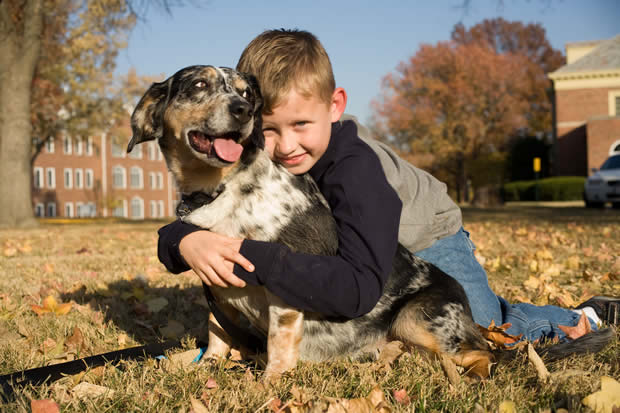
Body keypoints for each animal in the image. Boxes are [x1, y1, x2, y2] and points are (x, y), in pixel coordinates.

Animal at [127, 63, 616, 380]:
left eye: (246, 94)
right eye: (199, 84)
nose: (242, 111)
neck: (222, 187)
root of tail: (472, 317)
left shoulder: (286, 285)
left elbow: (278, 353)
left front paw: (266, 390)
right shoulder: (214, 289)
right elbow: (214, 339)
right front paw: (201, 368)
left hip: (417, 319)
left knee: (484, 356)